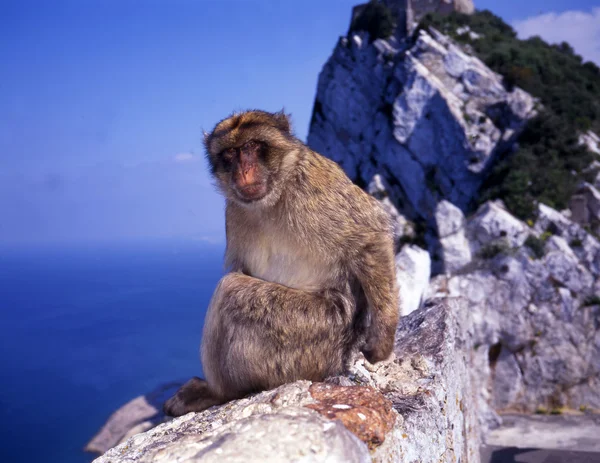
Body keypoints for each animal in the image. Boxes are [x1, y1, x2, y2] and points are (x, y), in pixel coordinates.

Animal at [162, 109, 400, 416]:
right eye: (230, 153)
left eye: (252, 147)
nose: (243, 171)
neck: (276, 194)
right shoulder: (234, 211)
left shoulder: (315, 185)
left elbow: (371, 234)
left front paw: (382, 339)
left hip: (307, 340)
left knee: (231, 291)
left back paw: (217, 392)